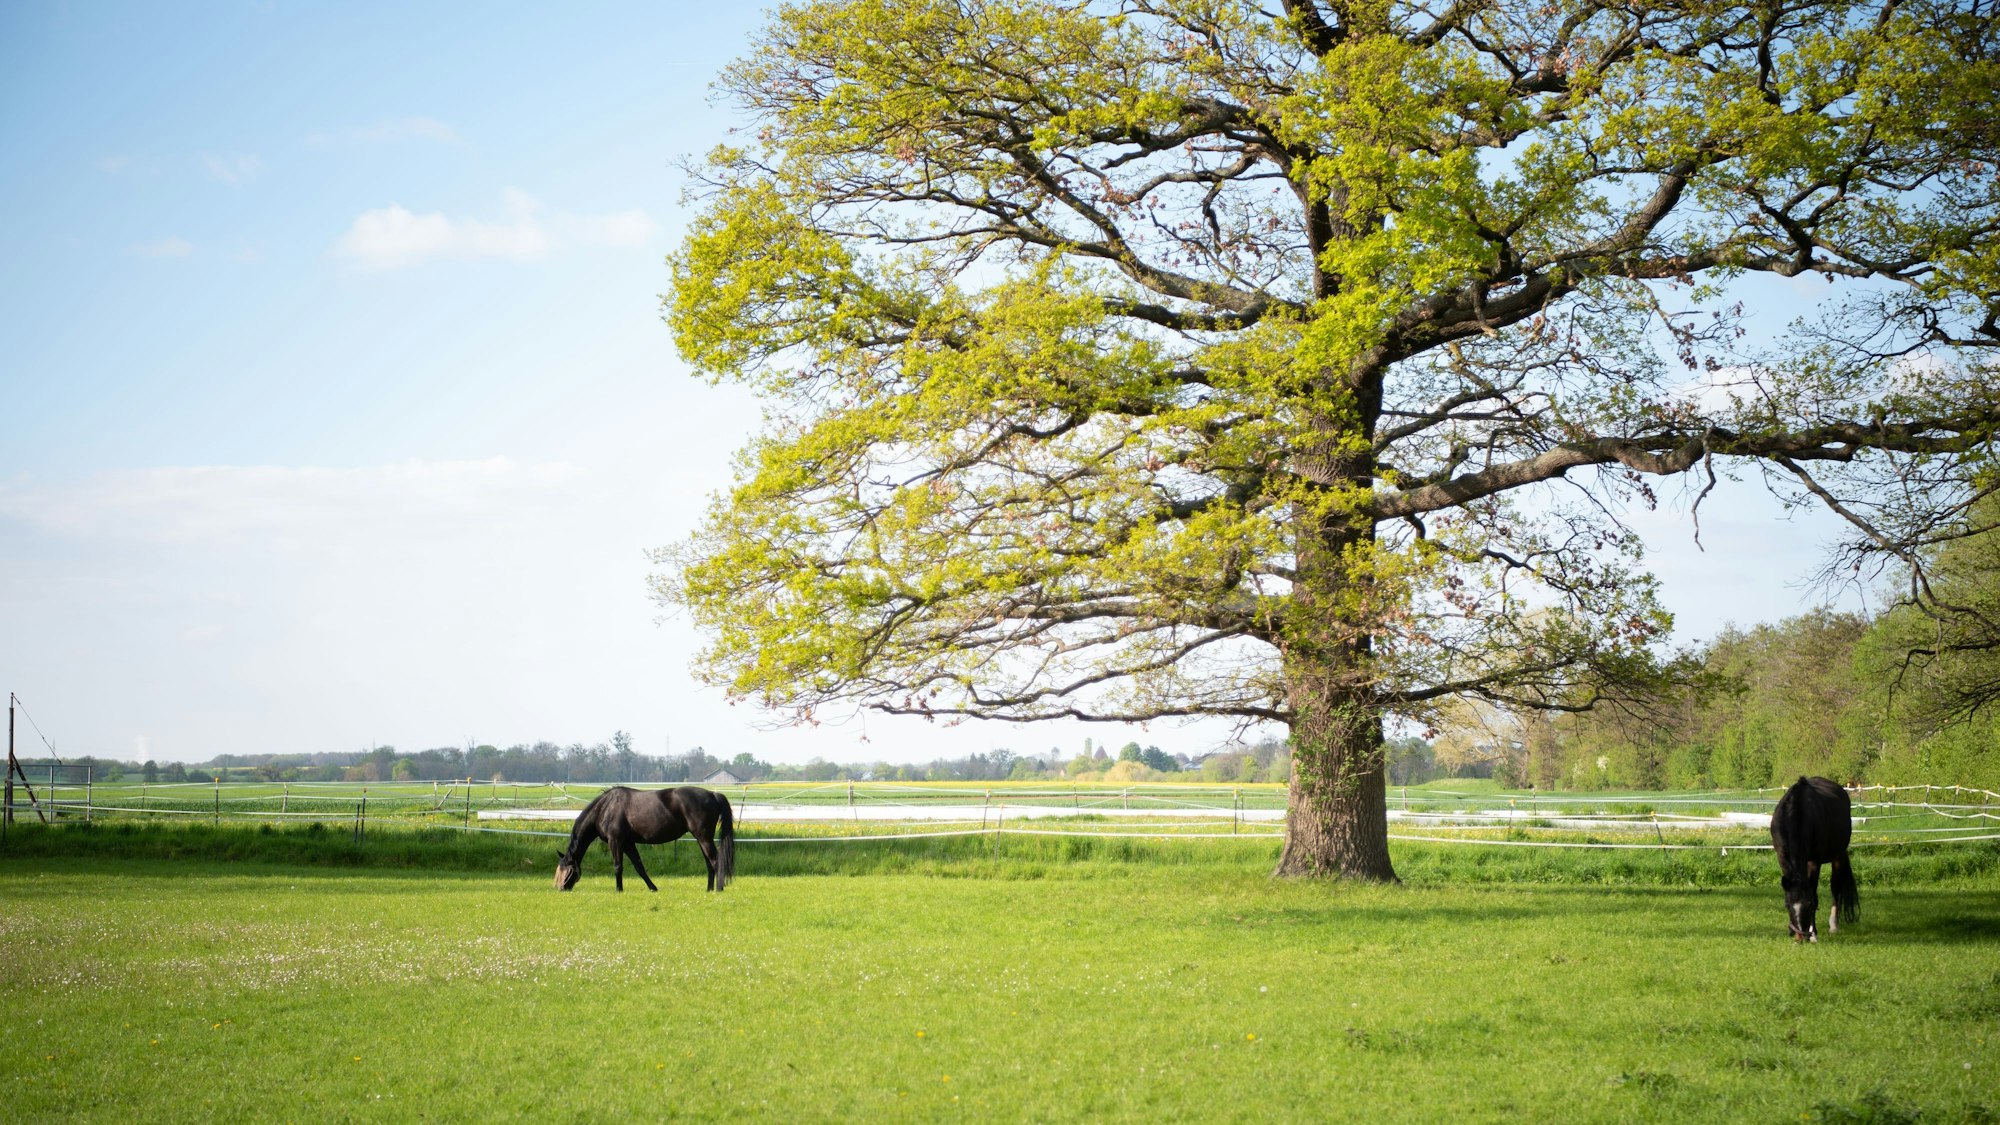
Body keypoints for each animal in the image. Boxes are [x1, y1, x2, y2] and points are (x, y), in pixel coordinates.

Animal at [554, 786, 735, 893]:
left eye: (567, 870)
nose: (561, 888)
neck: (605, 808)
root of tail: (712, 794)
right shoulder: (628, 843)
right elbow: (639, 867)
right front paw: (653, 888)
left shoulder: (616, 841)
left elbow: (618, 867)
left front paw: (619, 890)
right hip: (701, 839)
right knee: (709, 863)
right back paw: (709, 890)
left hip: (704, 838)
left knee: (716, 861)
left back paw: (719, 889)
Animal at [1769, 776, 1859, 942]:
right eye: (1787, 905)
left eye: (1810, 906)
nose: (1800, 937)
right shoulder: (1783, 859)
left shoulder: (1814, 862)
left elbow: (1814, 892)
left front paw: (1814, 934)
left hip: (1838, 855)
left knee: (1835, 886)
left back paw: (1833, 925)